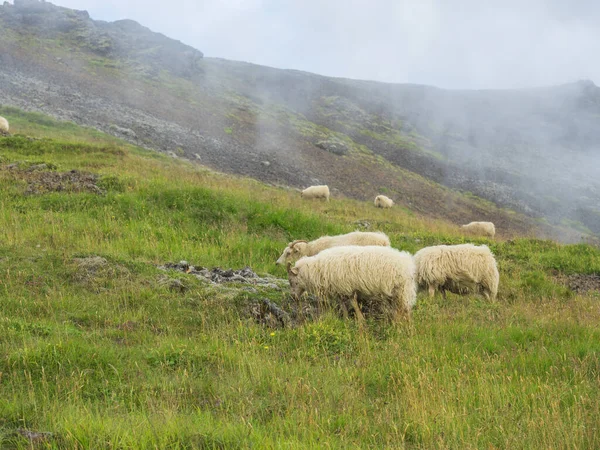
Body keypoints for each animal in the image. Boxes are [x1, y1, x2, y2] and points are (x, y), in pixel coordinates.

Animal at [286, 244, 418, 322]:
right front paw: (346, 320)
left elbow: (353, 305)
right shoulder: (340, 291)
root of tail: (408, 262)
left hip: (402, 291)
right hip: (394, 294)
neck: (317, 269)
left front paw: (360, 321)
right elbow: (343, 306)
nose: (293, 297)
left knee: (405, 311)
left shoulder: (348, 289)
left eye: (291, 281)